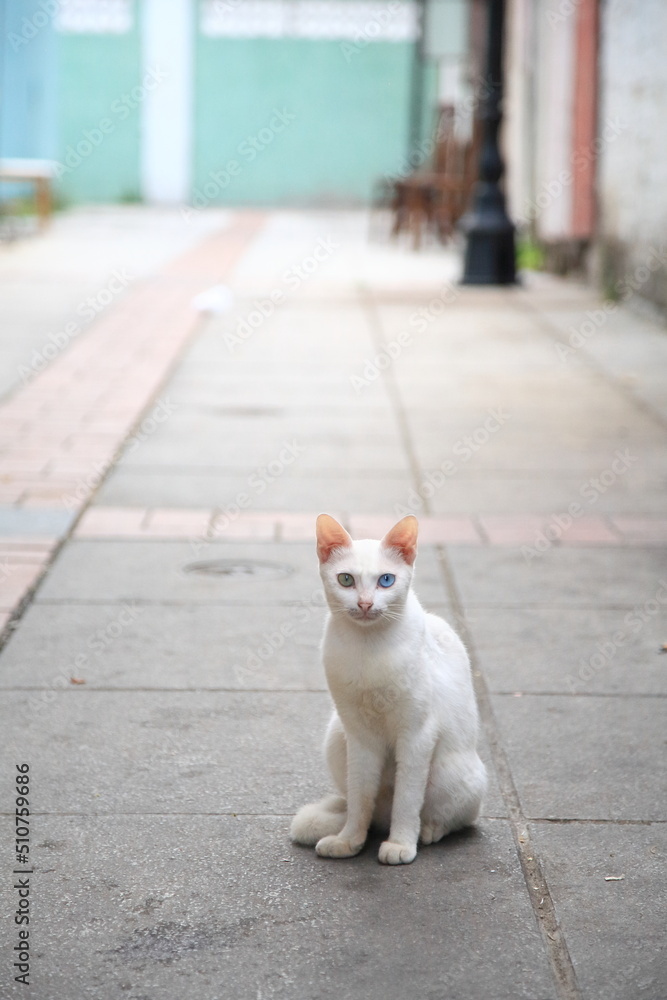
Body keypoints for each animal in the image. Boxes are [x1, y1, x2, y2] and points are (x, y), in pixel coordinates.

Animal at [290, 512, 488, 864]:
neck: (368, 650)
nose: (365, 604)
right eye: (345, 580)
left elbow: (407, 800)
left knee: (456, 817)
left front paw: (401, 844)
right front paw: (349, 840)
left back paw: (427, 831)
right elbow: (360, 799)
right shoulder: (359, 735)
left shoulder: (417, 734)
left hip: (450, 772)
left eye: (386, 580)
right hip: (336, 736)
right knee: (365, 809)